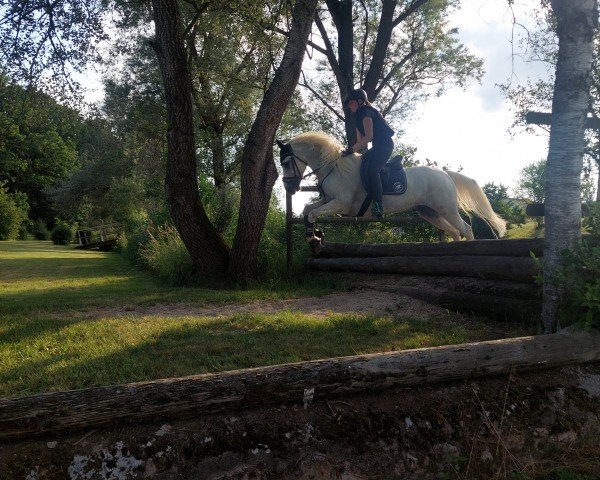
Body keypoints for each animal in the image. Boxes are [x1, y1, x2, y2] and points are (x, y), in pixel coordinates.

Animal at [276, 131, 506, 242]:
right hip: (430, 212)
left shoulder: (341, 203)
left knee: (465, 229)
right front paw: (312, 235)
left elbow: (314, 213)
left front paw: (313, 236)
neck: (333, 167)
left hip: (446, 210)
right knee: (455, 231)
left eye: (286, 163)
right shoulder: (327, 199)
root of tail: (444, 173)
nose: (289, 189)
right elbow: (308, 211)